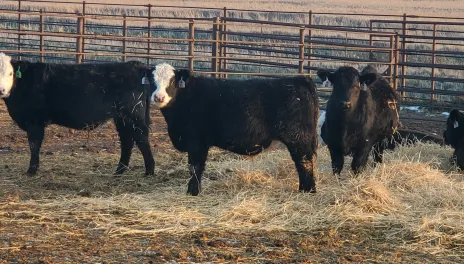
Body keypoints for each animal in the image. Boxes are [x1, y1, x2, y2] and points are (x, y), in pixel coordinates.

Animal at [0, 52, 156, 176]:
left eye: (10, 73)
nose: (2, 89)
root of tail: (136, 65)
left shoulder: (34, 121)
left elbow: (34, 145)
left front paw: (31, 170)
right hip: (121, 118)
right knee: (127, 141)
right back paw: (119, 171)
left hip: (133, 115)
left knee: (141, 138)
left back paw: (149, 171)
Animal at [148, 63, 320, 195]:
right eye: (151, 81)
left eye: (172, 81)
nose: (158, 97)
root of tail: (300, 79)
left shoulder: (197, 142)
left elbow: (195, 167)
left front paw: (193, 191)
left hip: (298, 137)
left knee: (304, 161)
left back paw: (307, 190)